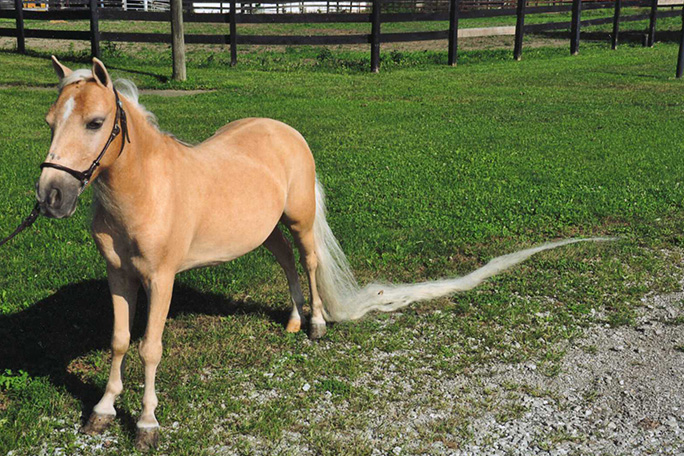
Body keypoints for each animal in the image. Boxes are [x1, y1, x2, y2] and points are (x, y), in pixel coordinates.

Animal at [36, 56, 613, 450]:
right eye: (50, 121)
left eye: (95, 123)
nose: (51, 196)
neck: (147, 189)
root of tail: (285, 131)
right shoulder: (119, 277)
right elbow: (119, 341)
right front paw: (102, 411)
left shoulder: (161, 279)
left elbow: (149, 348)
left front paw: (147, 423)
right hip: (268, 231)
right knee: (288, 264)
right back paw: (293, 322)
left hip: (299, 221)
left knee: (310, 263)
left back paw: (314, 325)